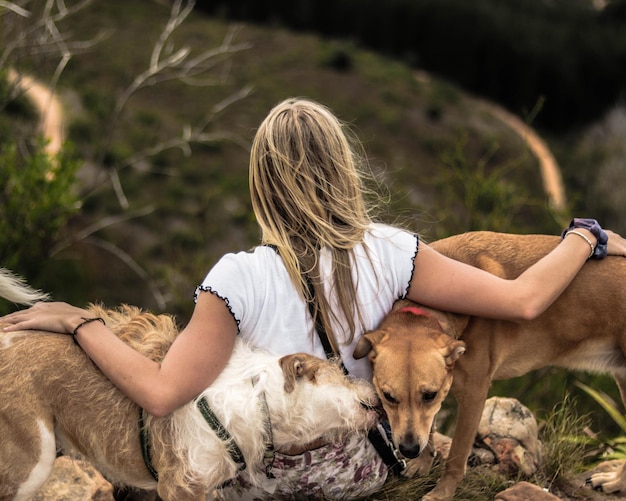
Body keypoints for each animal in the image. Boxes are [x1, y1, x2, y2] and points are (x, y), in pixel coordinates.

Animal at [354, 231, 624, 500]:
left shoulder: (473, 394)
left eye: (429, 395)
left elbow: (457, 454)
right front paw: (423, 462)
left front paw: (442, 492)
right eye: (388, 397)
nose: (409, 449)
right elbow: (429, 427)